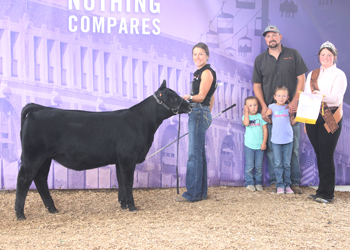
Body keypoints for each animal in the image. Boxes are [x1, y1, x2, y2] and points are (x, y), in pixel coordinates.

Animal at [15, 81, 190, 220]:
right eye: (174, 97)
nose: (190, 104)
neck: (142, 122)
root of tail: (39, 109)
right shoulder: (128, 157)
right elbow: (128, 181)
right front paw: (132, 206)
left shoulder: (120, 160)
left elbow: (121, 181)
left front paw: (123, 204)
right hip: (33, 156)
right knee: (24, 180)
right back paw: (20, 214)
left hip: (45, 158)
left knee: (40, 179)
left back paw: (52, 208)